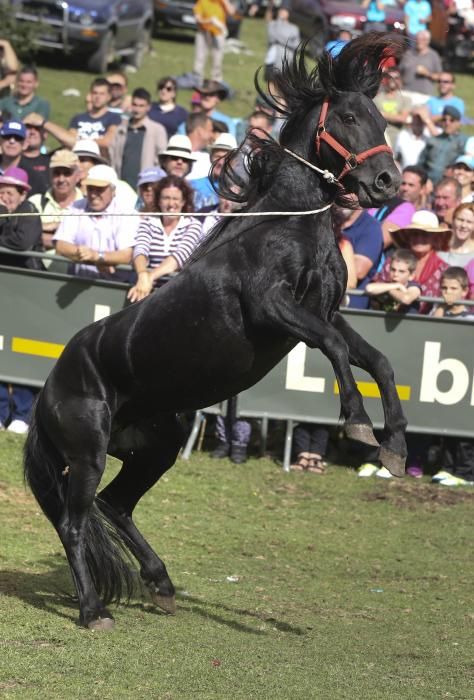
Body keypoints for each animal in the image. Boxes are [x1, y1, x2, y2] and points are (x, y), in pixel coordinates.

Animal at [23, 35, 408, 632]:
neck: (287, 223)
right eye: (348, 116)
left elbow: (377, 360)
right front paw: (359, 424)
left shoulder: (326, 310)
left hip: (157, 444)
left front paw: (394, 447)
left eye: (382, 120)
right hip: (87, 454)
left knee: (116, 504)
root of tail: (47, 392)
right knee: (76, 521)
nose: (387, 182)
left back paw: (160, 583)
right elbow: (339, 349)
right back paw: (93, 610)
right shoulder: (276, 309)